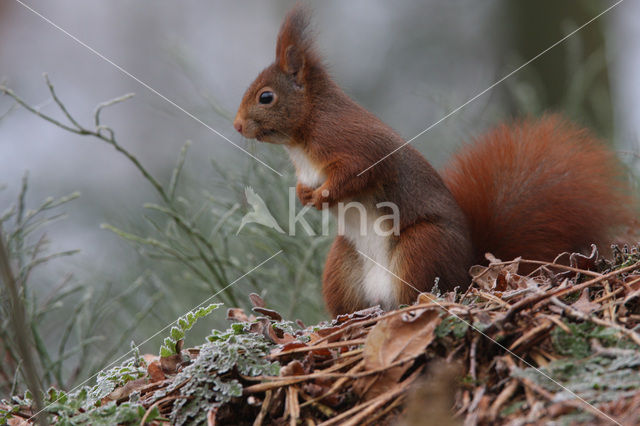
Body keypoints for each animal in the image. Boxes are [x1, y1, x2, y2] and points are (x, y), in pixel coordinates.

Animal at [232, 5, 632, 316]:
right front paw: (304, 196)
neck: (302, 137)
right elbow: (308, 184)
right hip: (342, 266)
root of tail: (468, 269)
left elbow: (357, 174)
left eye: (266, 97)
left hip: (421, 247)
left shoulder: (354, 144)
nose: (236, 125)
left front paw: (322, 197)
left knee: (417, 291)